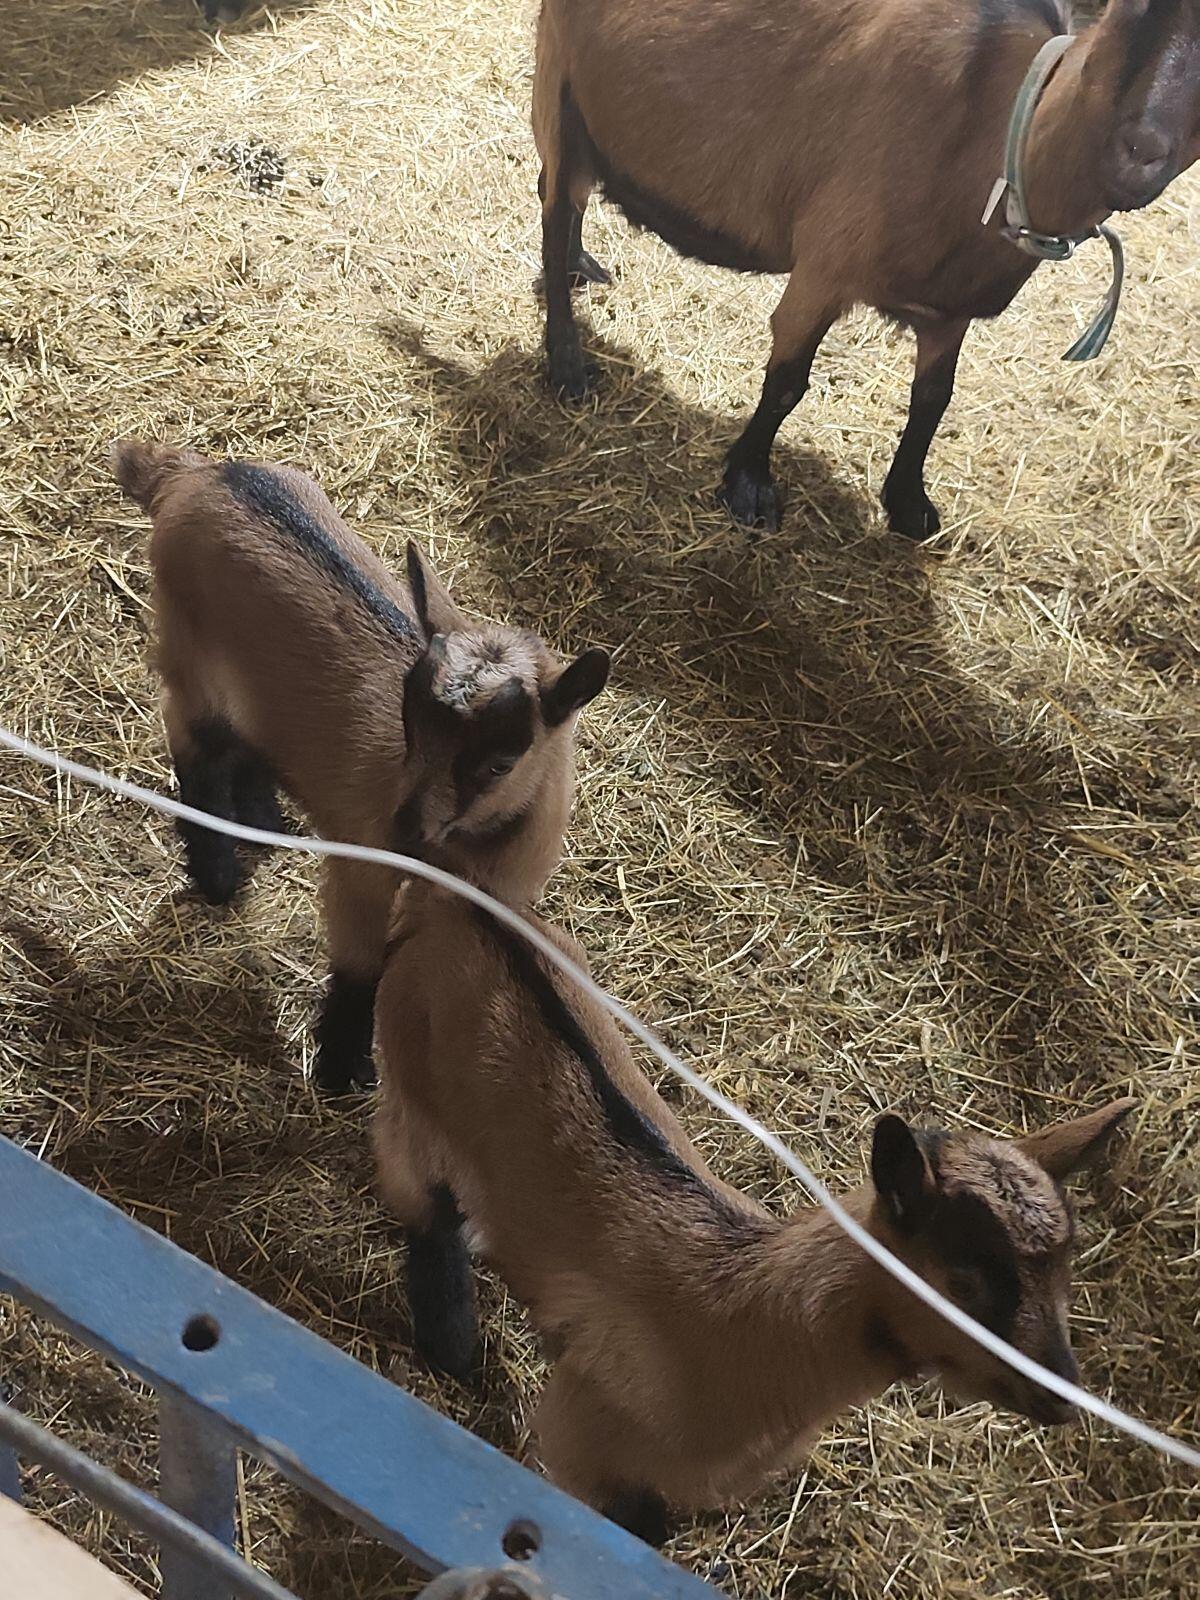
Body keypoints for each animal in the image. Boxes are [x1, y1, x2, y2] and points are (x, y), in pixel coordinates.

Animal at [112, 441, 609, 1095]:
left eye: (501, 763)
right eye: (408, 722)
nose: (404, 831)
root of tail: (193, 475)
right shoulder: (362, 867)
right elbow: (361, 963)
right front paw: (341, 1066)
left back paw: (264, 820)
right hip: (188, 660)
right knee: (196, 751)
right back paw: (218, 873)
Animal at [372, 882, 1136, 1543]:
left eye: (1067, 1266)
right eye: (966, 1276)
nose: (1065, 1396)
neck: (746, 1316)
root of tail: (457, 900)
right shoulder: (581, 1436)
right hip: (412, 1090)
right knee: (423, 1202)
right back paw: (453, 1347)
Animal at [534, 0, 1200, 538]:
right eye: (1131, 7)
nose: (1139, 152)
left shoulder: (948, 308)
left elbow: (934, 398)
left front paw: (908, 502)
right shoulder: (826, 265)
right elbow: (787, 383)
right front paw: (749, 485)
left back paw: (575, 267)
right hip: (559, 83)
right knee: (555, 201)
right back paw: (566, 361)